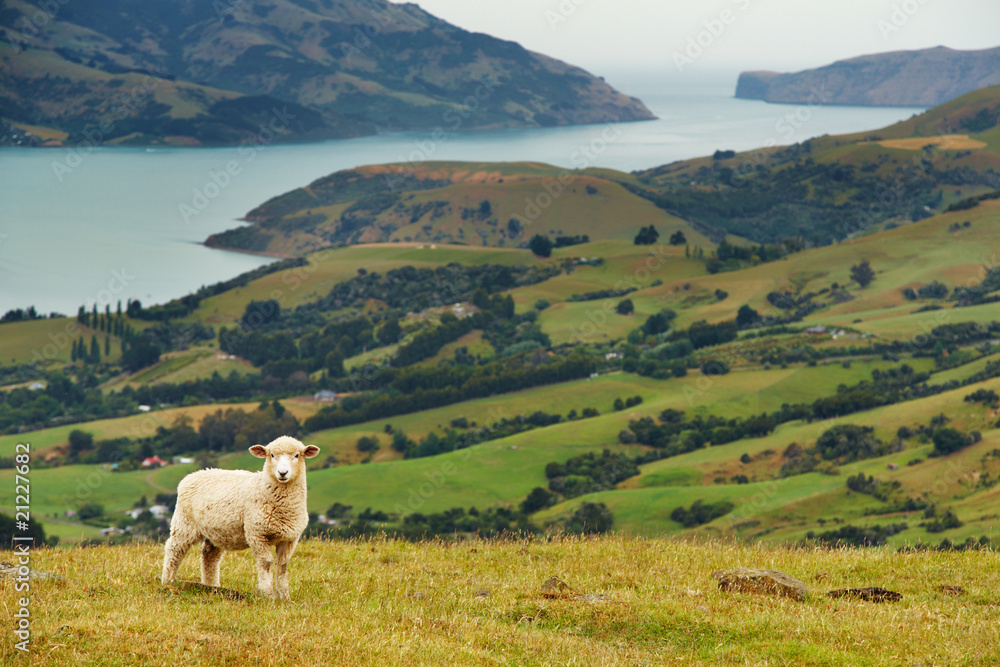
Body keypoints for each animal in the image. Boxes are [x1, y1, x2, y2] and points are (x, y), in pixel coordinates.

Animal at [160, 438, 318, 600]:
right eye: (272, 455)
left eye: (297, 455)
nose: (282, 473)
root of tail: (193, 474)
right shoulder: (256, 534)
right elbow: (266, 563)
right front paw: (268, 595)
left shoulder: (290, 538)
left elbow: (283, 566)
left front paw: (285, 597)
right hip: (184, 523)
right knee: (174, 550)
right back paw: (168, 581)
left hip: (216, 531)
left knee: (209, 556)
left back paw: (212, 586)